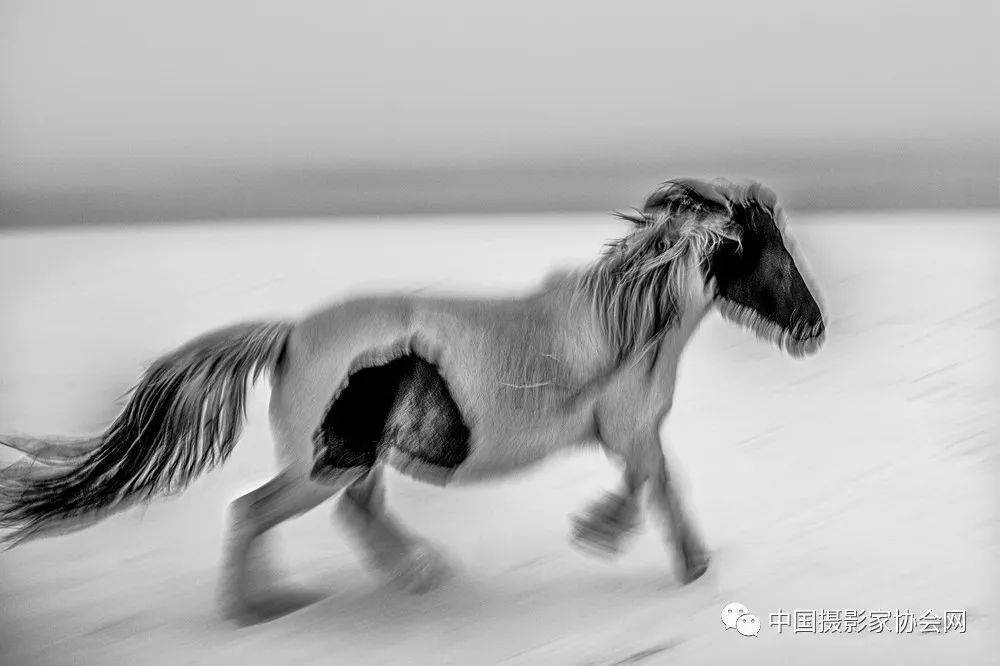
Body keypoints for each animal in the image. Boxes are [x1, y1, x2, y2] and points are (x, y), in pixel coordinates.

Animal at [0, 177, 826, 623]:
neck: (622, 326)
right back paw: (260, 609)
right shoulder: (627, 430)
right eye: (768, 252)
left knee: (350, 513)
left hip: (352, 460)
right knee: (254, 511)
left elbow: (654, 483)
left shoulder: (625, 432)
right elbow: (654, 481)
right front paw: (643, 548)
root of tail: (289, 337)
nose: (814, 327)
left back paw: (408, 576)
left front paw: (653, 550)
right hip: (325, 462)